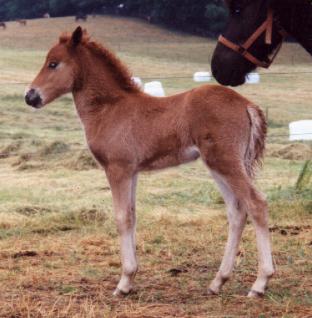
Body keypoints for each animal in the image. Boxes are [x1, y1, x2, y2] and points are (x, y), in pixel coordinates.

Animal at [25, 27, 274, 298]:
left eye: (53, 63)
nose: (30, 96)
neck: (110, 109)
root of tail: (246, 104)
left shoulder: (118, 169)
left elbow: (122, 217)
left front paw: (123, 283)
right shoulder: (131, 171)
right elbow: (132, 216)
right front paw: (131, 277)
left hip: (226, 162)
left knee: (256, 203)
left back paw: (260, 283)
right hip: (218, 165)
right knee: (237, 211)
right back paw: (218, 281)